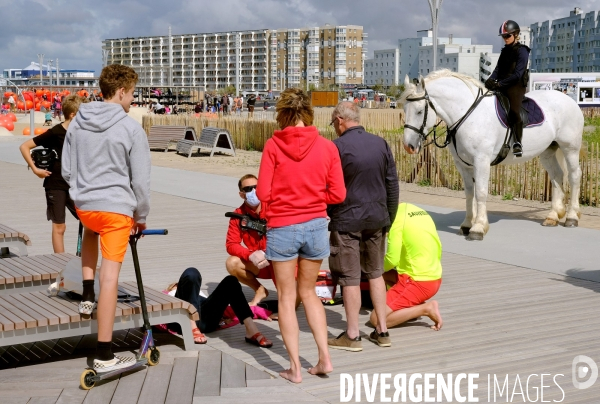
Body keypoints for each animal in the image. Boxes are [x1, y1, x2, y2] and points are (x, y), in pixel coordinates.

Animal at [400, 70, 584, 241]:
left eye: (419, 111)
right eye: (404, 109)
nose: (409, 146)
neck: (468, 115)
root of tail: (567, 99)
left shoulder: (481, 161)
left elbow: (481, 192)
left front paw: (478, 228)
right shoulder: (462, 164)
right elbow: (469, 193)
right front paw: (467, 225)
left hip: (570, 148)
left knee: (575, 176)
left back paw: (572, 217)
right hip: (547, 152)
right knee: (557, 176)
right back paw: (553, 216)